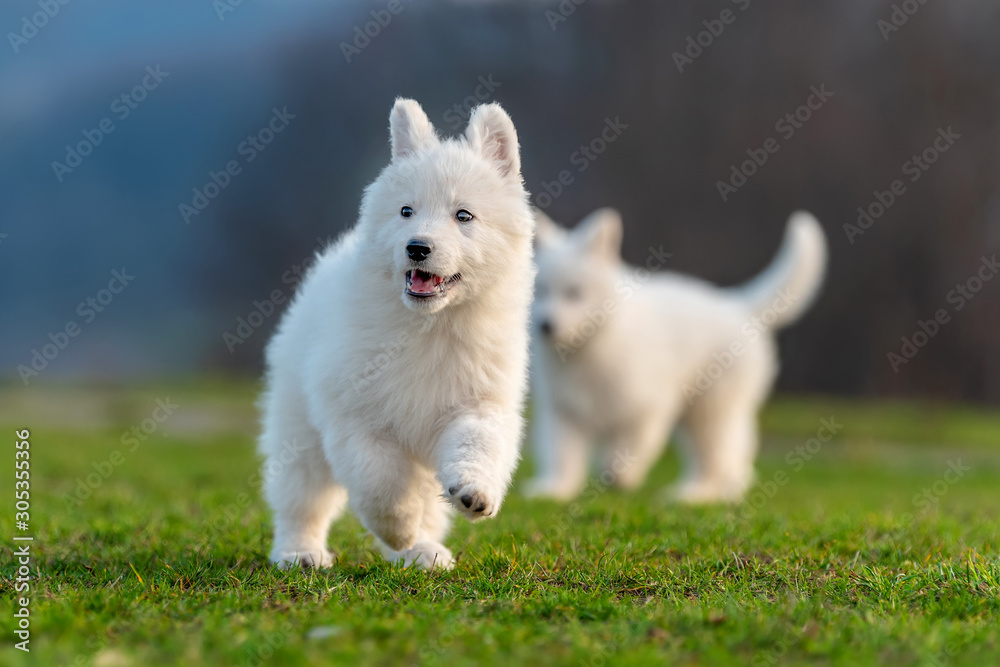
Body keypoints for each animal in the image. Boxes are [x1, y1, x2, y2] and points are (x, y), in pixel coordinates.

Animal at [262, 98, 536, 568]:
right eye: (407, 211)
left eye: (463, 215)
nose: (417, 247)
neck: (431, 326)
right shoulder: (356, 416)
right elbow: (382, 480)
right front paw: (397, 526)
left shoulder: (479, 402)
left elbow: (477, 444)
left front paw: (474, 492)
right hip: (299, 429)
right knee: (302, 497)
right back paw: (301, 552)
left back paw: (421, 552)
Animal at [528, 209, 824, 500]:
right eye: (540, 291)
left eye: (574, 293)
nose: (546, 325)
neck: (587, 349)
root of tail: (737, 306)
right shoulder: (564, 413)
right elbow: (563, 455)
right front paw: (555, 489)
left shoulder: (647, 407)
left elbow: (628, 447)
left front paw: (619, 474)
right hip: (700, 415)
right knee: (733, 454)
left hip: (710, 411)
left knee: (718, 457)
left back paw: (697, 495)